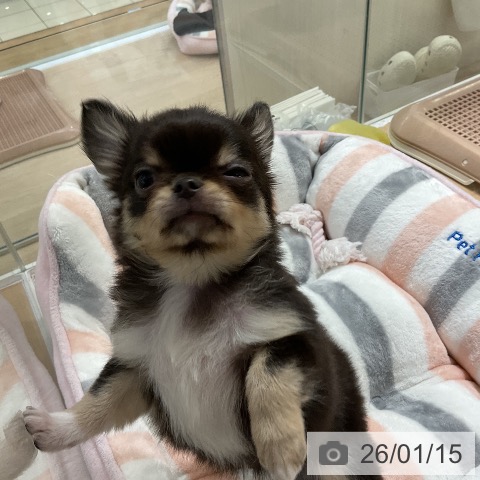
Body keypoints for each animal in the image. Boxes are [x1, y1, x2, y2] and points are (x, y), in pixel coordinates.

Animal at [23, 100, 373, 479]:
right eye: (143, 179)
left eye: (236, 172)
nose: (187, 183)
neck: (193, 280)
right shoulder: (136, 367)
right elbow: (99, 402)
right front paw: (56, 427)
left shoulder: (292, 335)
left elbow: (266, 373)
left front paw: (281, 447)